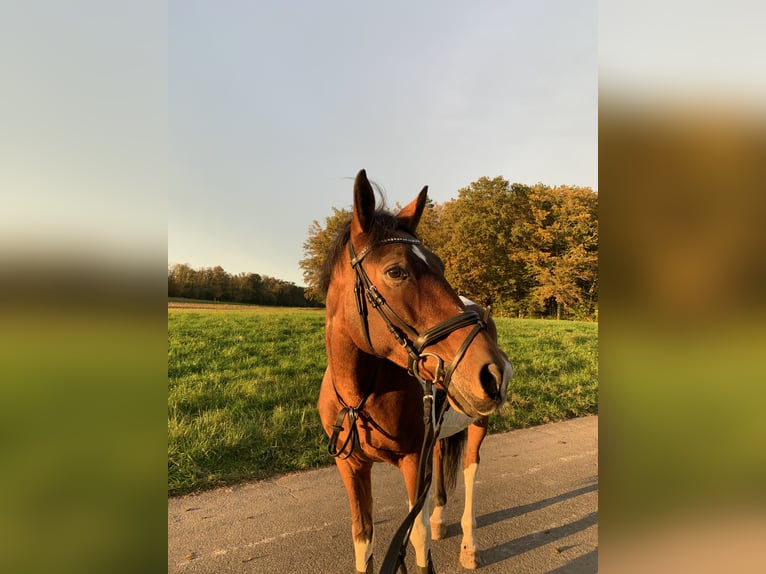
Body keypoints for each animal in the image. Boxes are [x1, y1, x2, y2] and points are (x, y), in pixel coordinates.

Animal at [318, 171, 510, 574]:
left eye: (439, 265)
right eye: (396, 271)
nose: (495, 373)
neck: (360, 397)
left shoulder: (410, 461)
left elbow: (416, 539)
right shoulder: (351, 467)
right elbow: (363, 541)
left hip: (479, 424)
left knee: (470, 471)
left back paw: (469, 544)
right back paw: (440, 519)